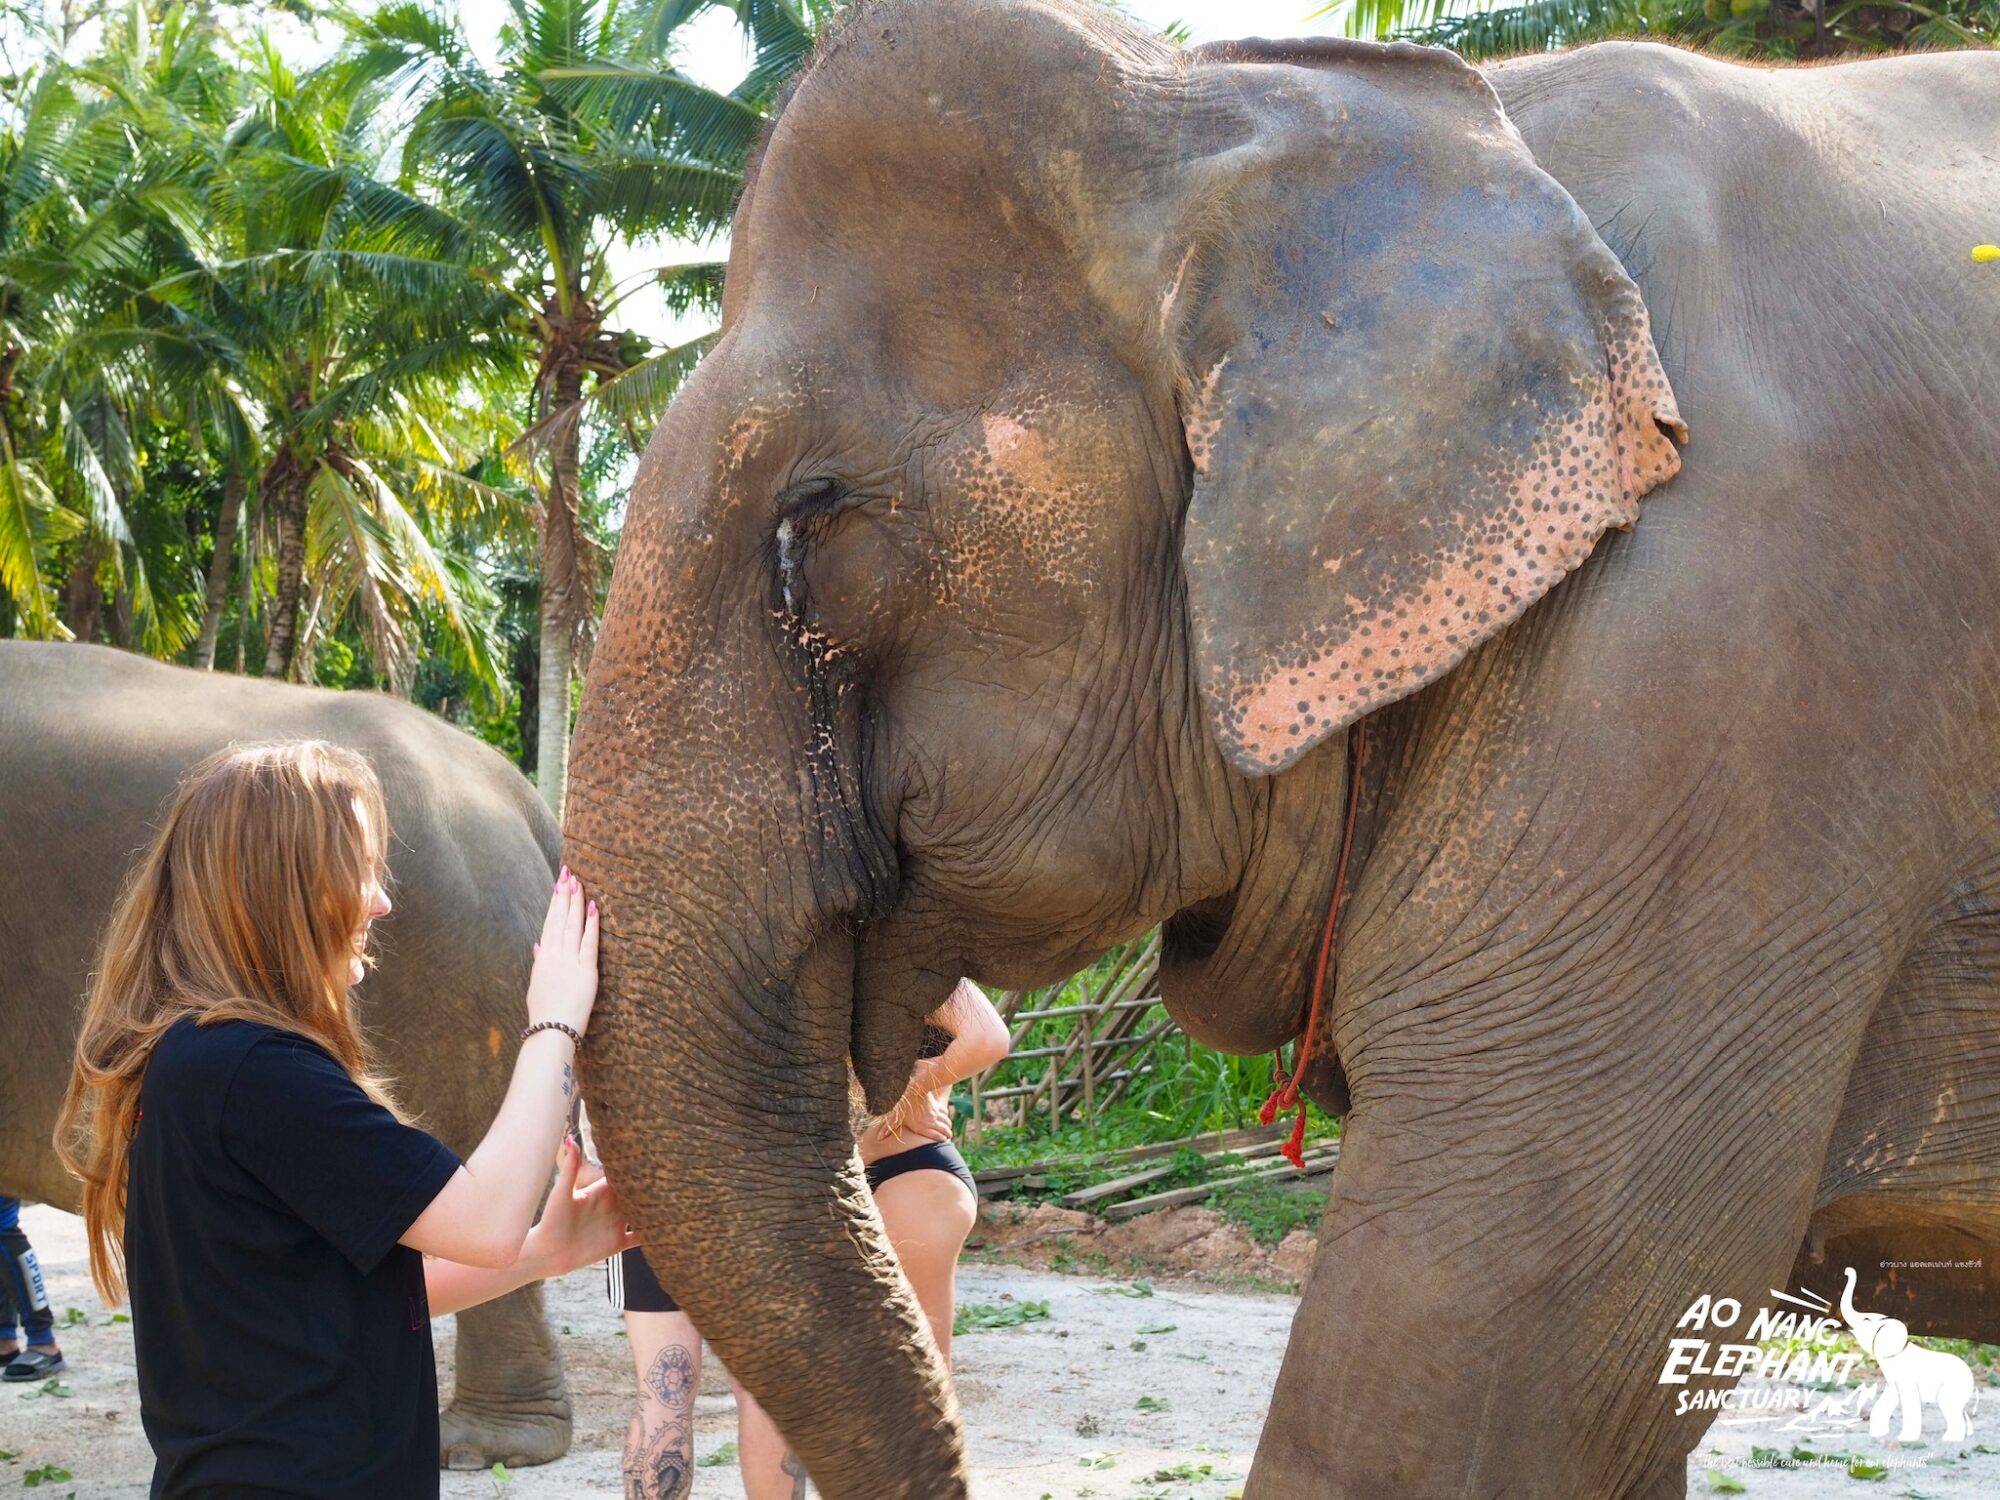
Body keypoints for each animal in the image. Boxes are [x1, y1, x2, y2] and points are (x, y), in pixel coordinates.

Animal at [1840, 1272, 1984, 1448]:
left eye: (1866, 1320)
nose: (1847, 1272)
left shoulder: (1905, 1376)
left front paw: (1905, 1439)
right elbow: (1890, 1395)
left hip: (1953, 1387)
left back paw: (1950, 1439)